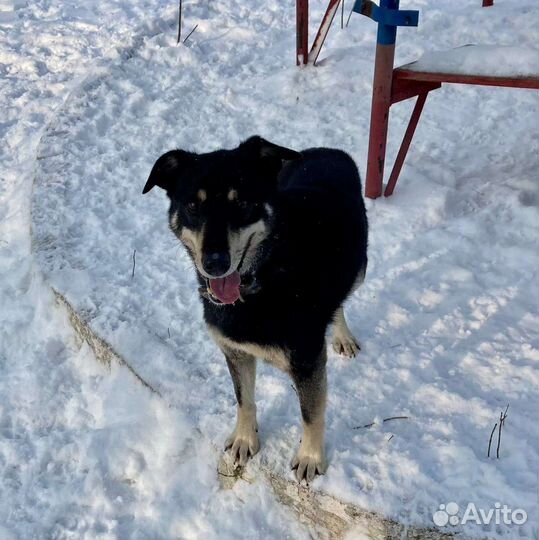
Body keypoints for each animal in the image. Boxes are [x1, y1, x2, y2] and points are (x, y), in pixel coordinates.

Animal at [143, 137, 370, 484]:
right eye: (193, 206)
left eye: (242, 203)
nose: (215, 263)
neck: (264, 276)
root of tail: (329, 150)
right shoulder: (235, 352)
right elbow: (244, 399)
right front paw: (245, 439)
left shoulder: (308, 361)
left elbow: (311, 414)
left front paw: (310, 458)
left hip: (358, 270)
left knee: (342, 298)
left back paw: (342, 335)